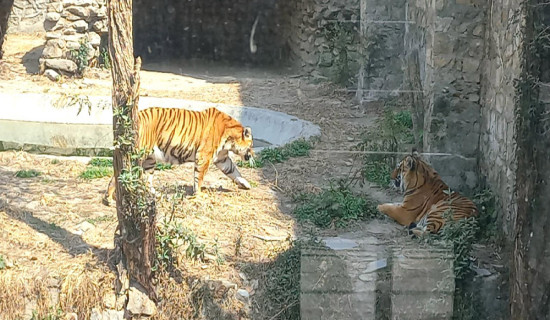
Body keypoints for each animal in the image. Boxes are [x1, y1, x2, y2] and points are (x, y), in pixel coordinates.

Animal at [103, 106, 254, 204]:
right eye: (252, 145)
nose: (253, 155)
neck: (230, 139)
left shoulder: (222, 158)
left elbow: (234, 171)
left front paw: (246, 184)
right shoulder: (204, 156)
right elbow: (199, 177)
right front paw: (199, 194)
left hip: (150, 160)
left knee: (147, 179)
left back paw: (154, 194)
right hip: (139, 155)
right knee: (119, 173)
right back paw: (109, 198)